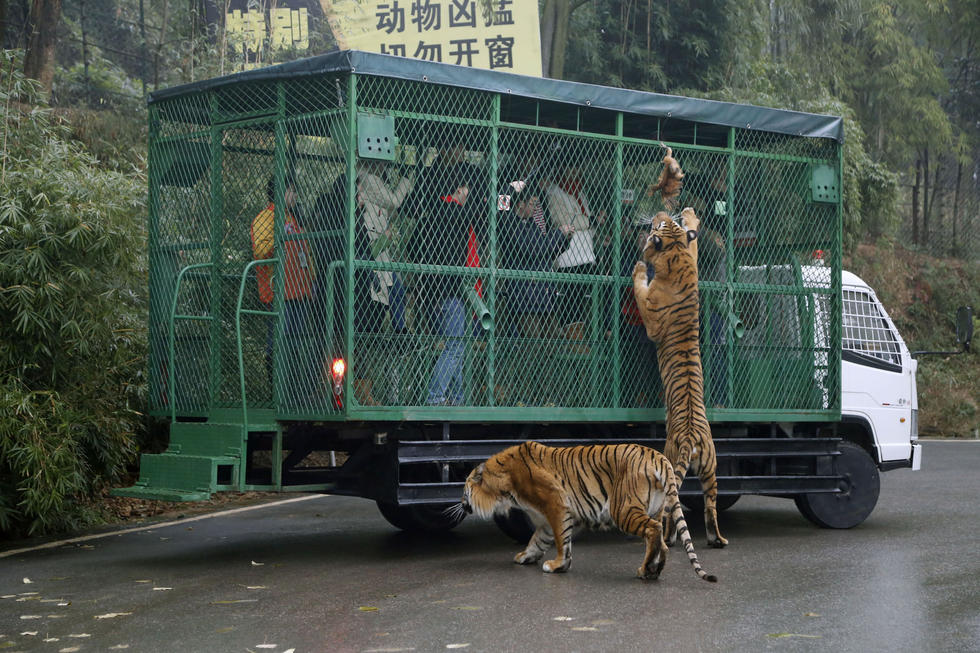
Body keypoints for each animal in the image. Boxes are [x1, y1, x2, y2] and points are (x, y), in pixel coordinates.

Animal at [459, 441, 717, 583]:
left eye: (464, 489)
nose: (461, 503)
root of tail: (659, 456)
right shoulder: (548, 520)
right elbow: (538, 540)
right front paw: (526, 556)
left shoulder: (556, 504)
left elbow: (561, 540)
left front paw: (557, 565)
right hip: (654, 509)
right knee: (661, 540)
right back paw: (653, 570)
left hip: (623, 509)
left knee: (653, 531)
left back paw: (646, 570)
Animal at [632, 205, 728, 549]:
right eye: (667, 221)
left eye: (659, 225)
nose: (660, 211)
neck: (675, 252)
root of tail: (691, 439)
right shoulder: (692, 255)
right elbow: (696, 241)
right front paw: (691, 215)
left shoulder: (650, 315)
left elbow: (640, 287)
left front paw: (638, 264)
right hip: (712, 468)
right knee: (710, 506)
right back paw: (718, 540)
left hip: (671, 459)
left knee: (667, 510)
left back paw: (669, 537)